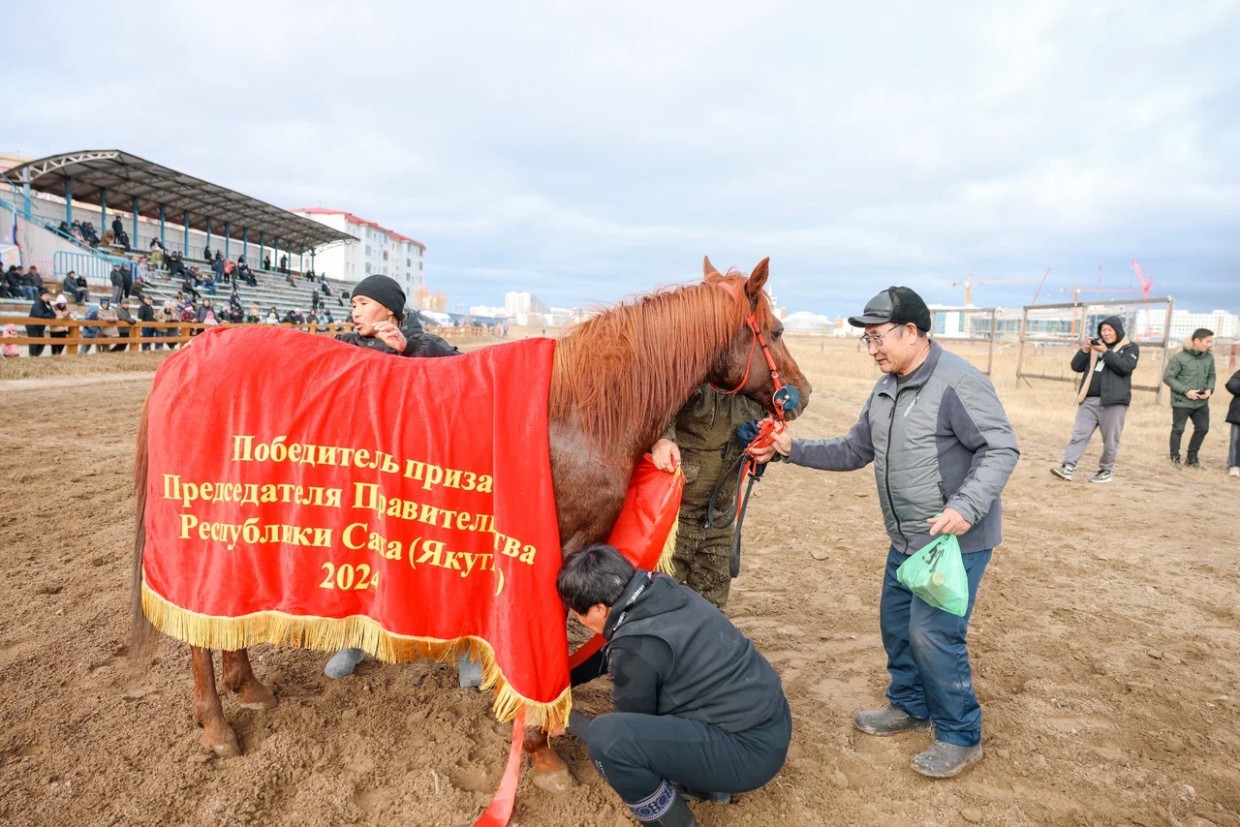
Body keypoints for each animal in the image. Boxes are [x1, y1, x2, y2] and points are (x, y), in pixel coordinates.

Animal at [133, 255, 813, 793]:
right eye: (777, 329)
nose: (799, 395)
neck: (576, 411)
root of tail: (190, 354)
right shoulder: (556, 550)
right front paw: (541, 754)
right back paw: (217, 725)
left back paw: (248, 685)